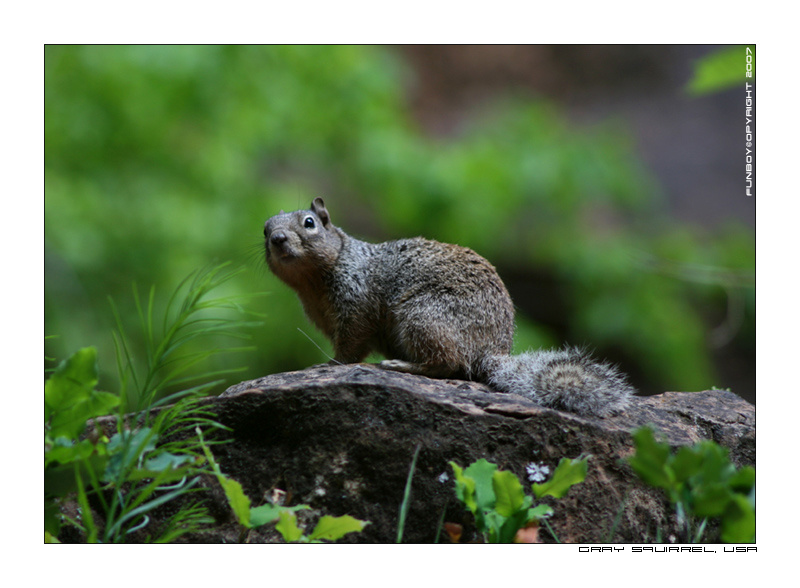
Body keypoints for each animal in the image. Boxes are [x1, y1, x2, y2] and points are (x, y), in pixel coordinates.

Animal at [263, 198, 634, 417]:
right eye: (265, 229)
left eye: (309, 223)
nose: (277, 239)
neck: (315, 282)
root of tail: (490, 350)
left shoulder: (356, 306)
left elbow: (351, 347)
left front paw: (329, 365)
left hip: (423, 317)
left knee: (449, 364)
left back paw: (402, 365)